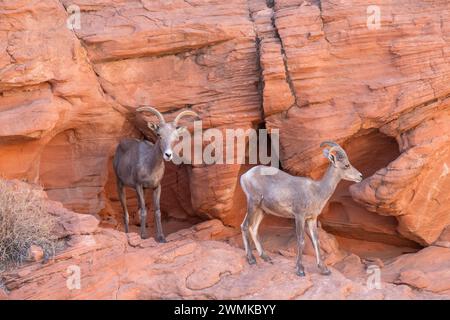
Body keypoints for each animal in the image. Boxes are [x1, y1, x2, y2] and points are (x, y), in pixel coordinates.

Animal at [113, 106, 198, 241]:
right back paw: (128, 233)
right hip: (120, 184)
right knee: (125, 212)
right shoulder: (138, 185)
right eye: (159, 135)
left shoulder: (156, 187)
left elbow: (157, 211)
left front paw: (161, 237)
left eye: (176, 138)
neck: (150, 166)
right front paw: (143, 236)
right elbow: (143, 210)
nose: (168, 155)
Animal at [241, 141, 364, 276]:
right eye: (346, 165)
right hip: (253, 203)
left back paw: (266, 257)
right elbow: (301, 240)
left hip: (262, 210)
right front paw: (300, 270)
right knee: (245, 225)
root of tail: (245, 176)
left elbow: (316, 241)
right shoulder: (299, 216)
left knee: (253, 228)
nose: (360, 176)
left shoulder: (312, 219)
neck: (317, 191)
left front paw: (324, 270)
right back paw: (251, 259)